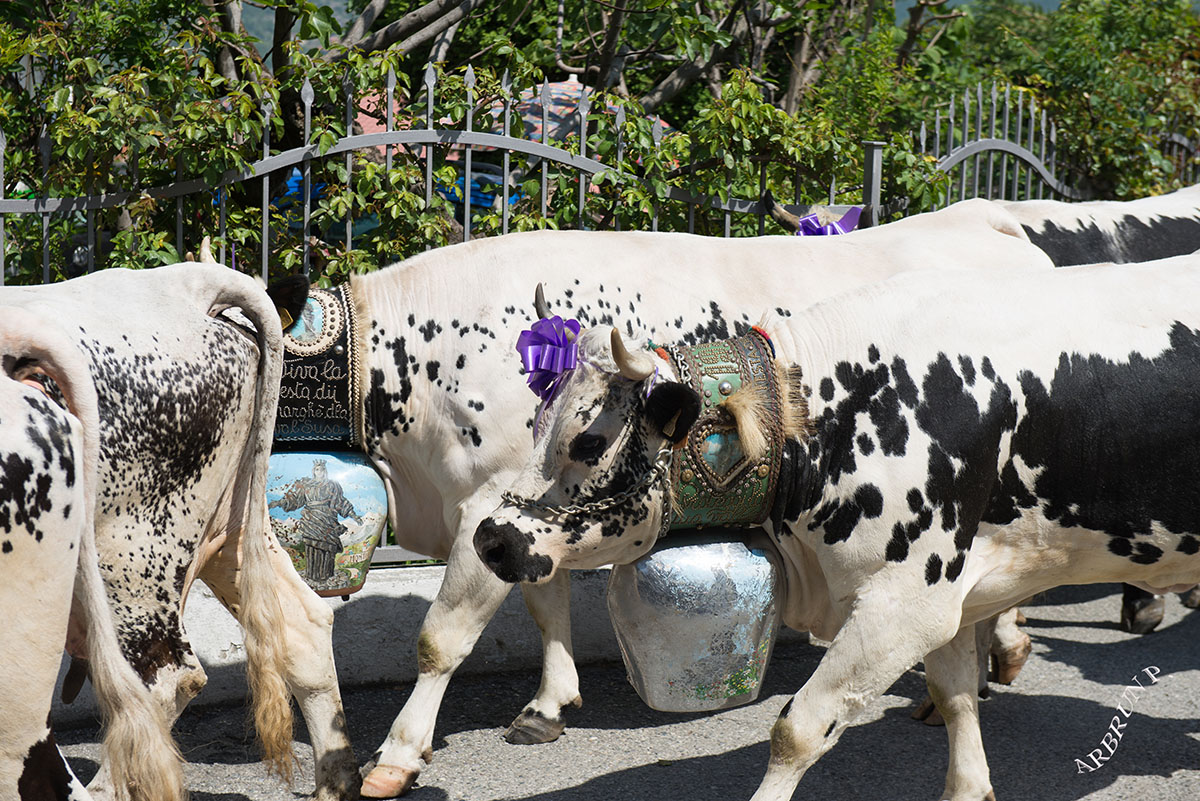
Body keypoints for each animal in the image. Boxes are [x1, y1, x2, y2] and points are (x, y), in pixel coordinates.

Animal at [472, 255, 1200, 801]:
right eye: (537, 422)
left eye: (589, 439)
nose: (490, 537)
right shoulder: (947, 596)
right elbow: (955, 696)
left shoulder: (906, 599)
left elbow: (798, 728)